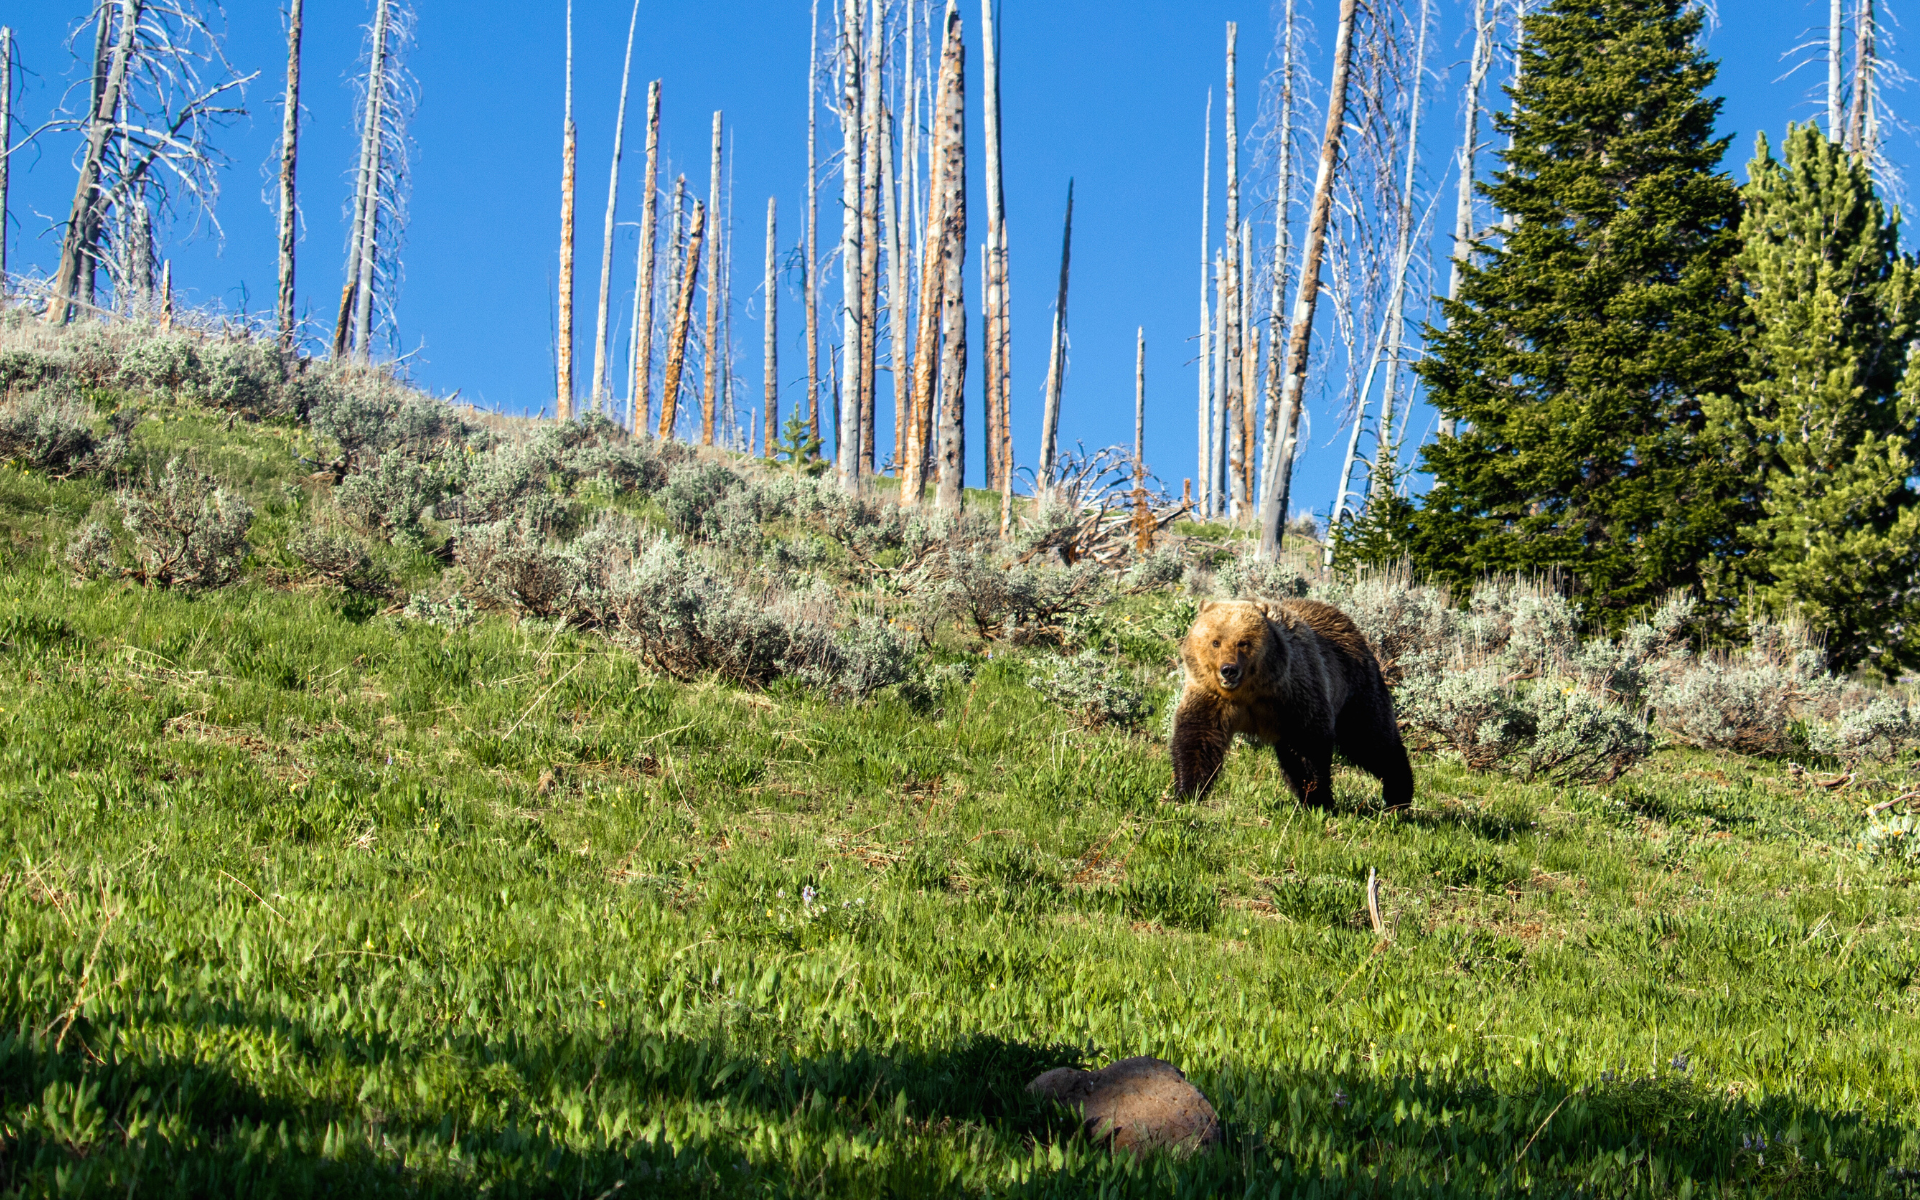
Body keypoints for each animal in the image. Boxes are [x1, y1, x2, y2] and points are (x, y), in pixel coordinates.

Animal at [1159, 595, 1420, 810]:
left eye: (1243, 642)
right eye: (1215, 642)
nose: (1228, 670)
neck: (1249, 692)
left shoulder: (1293, 694)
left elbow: (1307, 746)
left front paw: (1319, 799)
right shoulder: (1212, 697)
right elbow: (1198, 738)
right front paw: (1186, 791)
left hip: (1355, 688)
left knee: (1371, 739)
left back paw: (1399, 795)